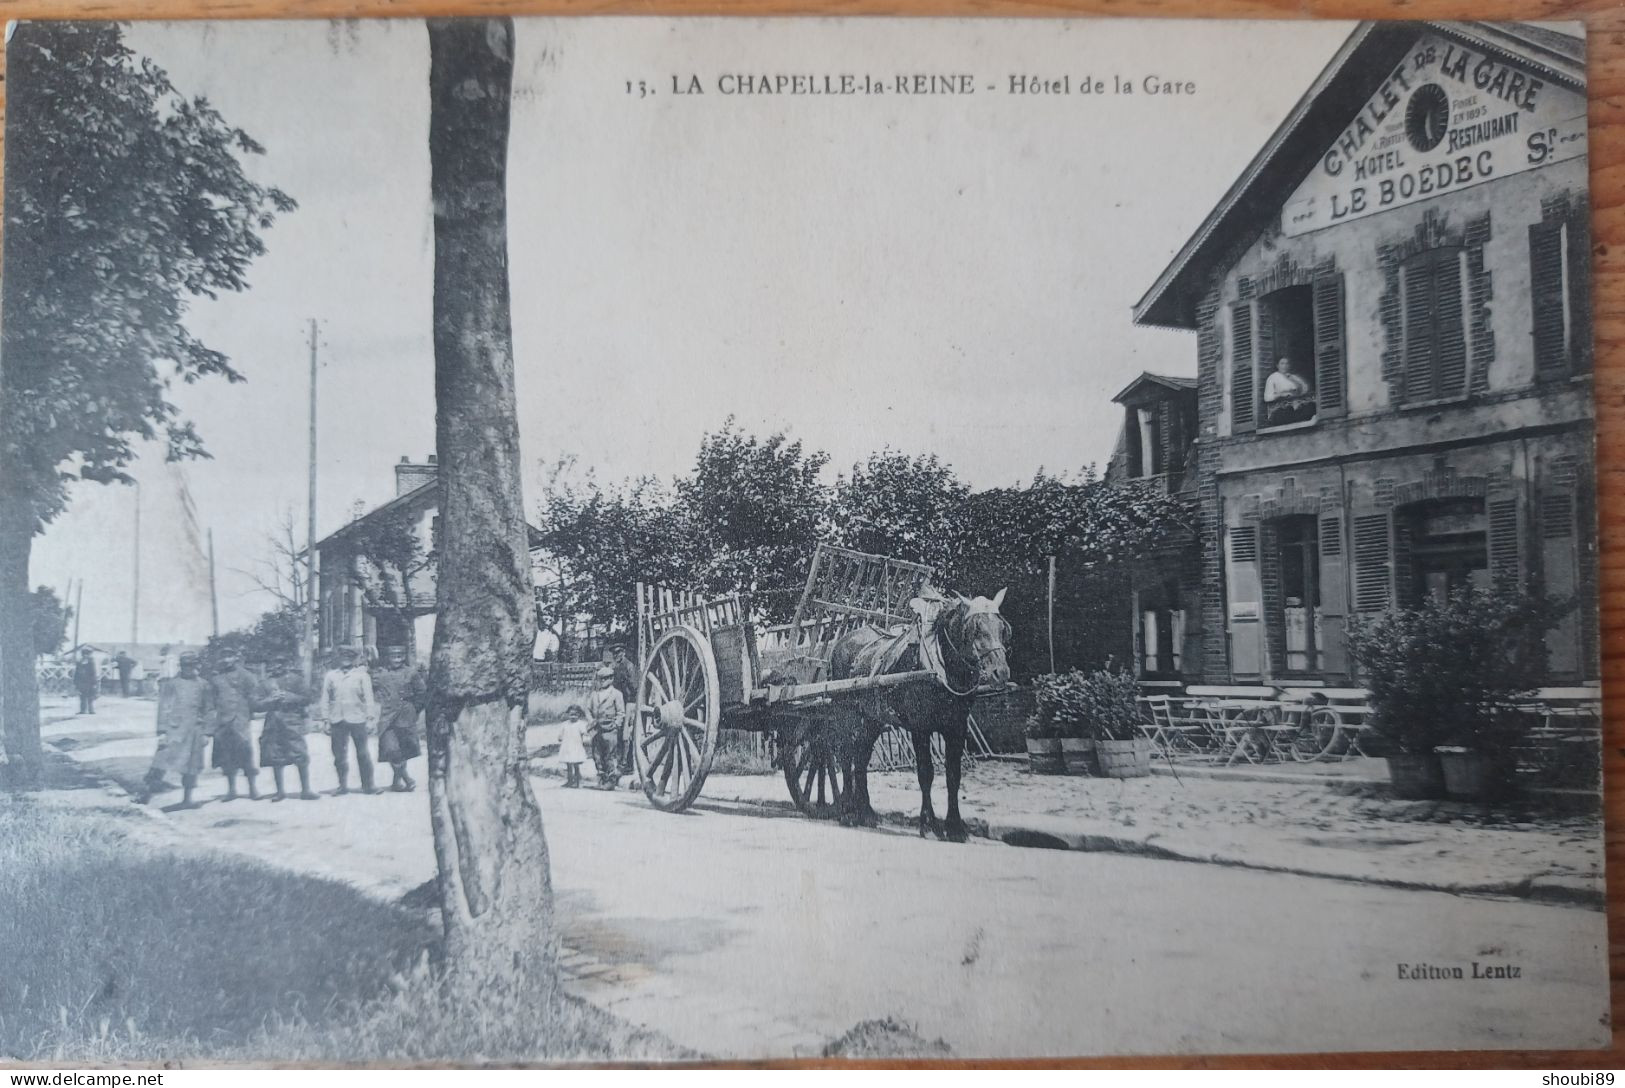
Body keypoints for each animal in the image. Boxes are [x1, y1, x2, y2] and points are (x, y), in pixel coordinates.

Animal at [832, 587, 1007, 844]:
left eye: (1003, 629)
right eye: (974, 629)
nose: (1000, 672)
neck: (939, 666)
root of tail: (840, 643)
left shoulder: (957, 727)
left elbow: (953, 775)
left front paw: (955, 827)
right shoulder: (920, 727)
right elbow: (926, 773)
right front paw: (929, 824)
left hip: (872, 719)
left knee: (861, 757)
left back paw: (866, 812)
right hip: (846, 714)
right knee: (845, 755)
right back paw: (847, 812)